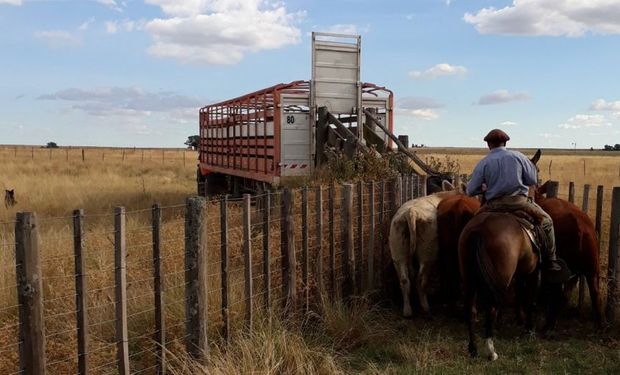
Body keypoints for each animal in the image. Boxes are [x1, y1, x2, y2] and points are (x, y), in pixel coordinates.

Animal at [388, 179, 464, 318]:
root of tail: (411, 212)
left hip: (398, 253)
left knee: (404, 280)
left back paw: (407, 310)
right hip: (428, 254)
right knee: (420, 280)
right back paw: (425, 306)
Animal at [458, 212, 560, 362]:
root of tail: (480, 229)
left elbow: (519, 294)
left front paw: (521, 320)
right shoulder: (533, 273)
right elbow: (530, 301)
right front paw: (529, 330)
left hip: (469, 280)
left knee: (471, 311)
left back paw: (473, 350)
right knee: (491, 310)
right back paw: (491, 352)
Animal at [536, 181, 604, 328]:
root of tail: (580, 227)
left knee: (558, 293)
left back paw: (548, 324)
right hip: (592, 268)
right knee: (595, 294)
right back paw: (600, 327)